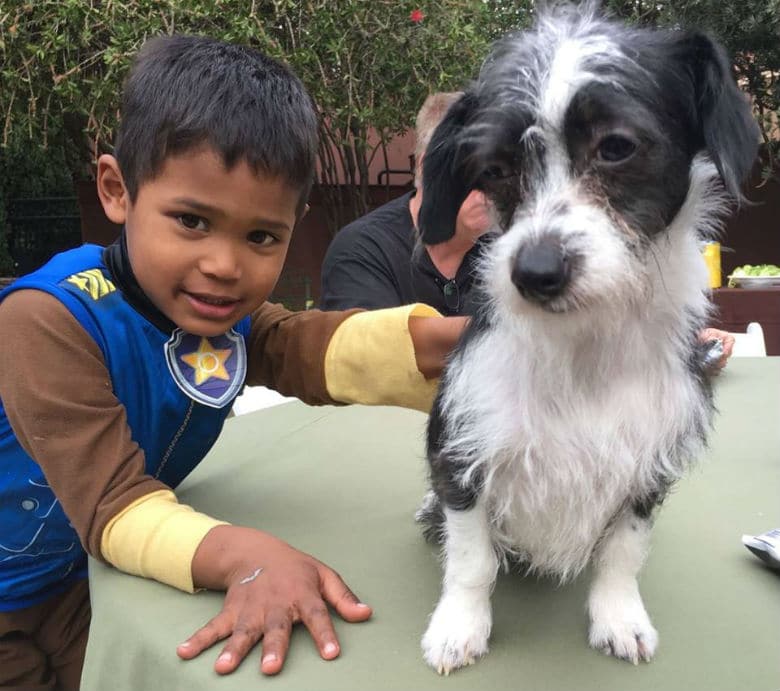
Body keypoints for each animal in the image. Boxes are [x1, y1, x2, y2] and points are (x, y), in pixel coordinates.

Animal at [418, 0, 760, 676]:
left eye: (616, 147)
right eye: (494, 169)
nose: (534, 272)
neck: (583, 347)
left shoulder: (648, 471)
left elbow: (622, 553)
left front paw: (619, 617)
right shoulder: (460, 455)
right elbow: (471, 558)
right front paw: (460, 625)